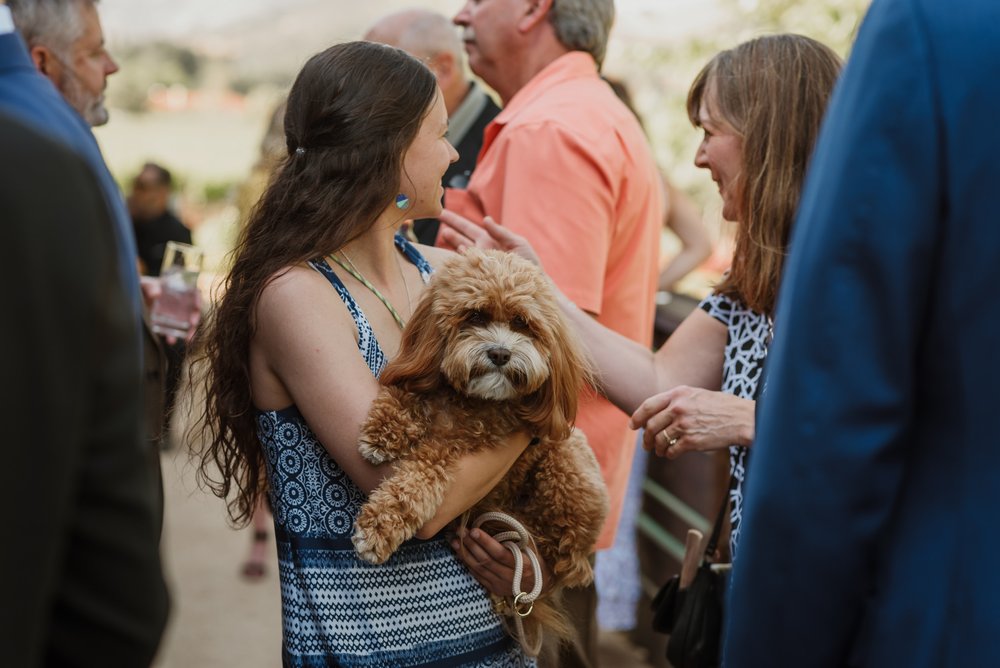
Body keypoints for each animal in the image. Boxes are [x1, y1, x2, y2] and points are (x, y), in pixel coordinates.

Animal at [352, 247, 608, 648]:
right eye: (475, 316)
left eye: (522, 323)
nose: (500, 353)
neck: (468, 400)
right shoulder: (427, 384)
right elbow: (405, 392)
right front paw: (382, 431)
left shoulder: (459, 447)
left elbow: (420, 476)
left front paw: (379, 527)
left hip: (567, 470)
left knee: (569, 560)